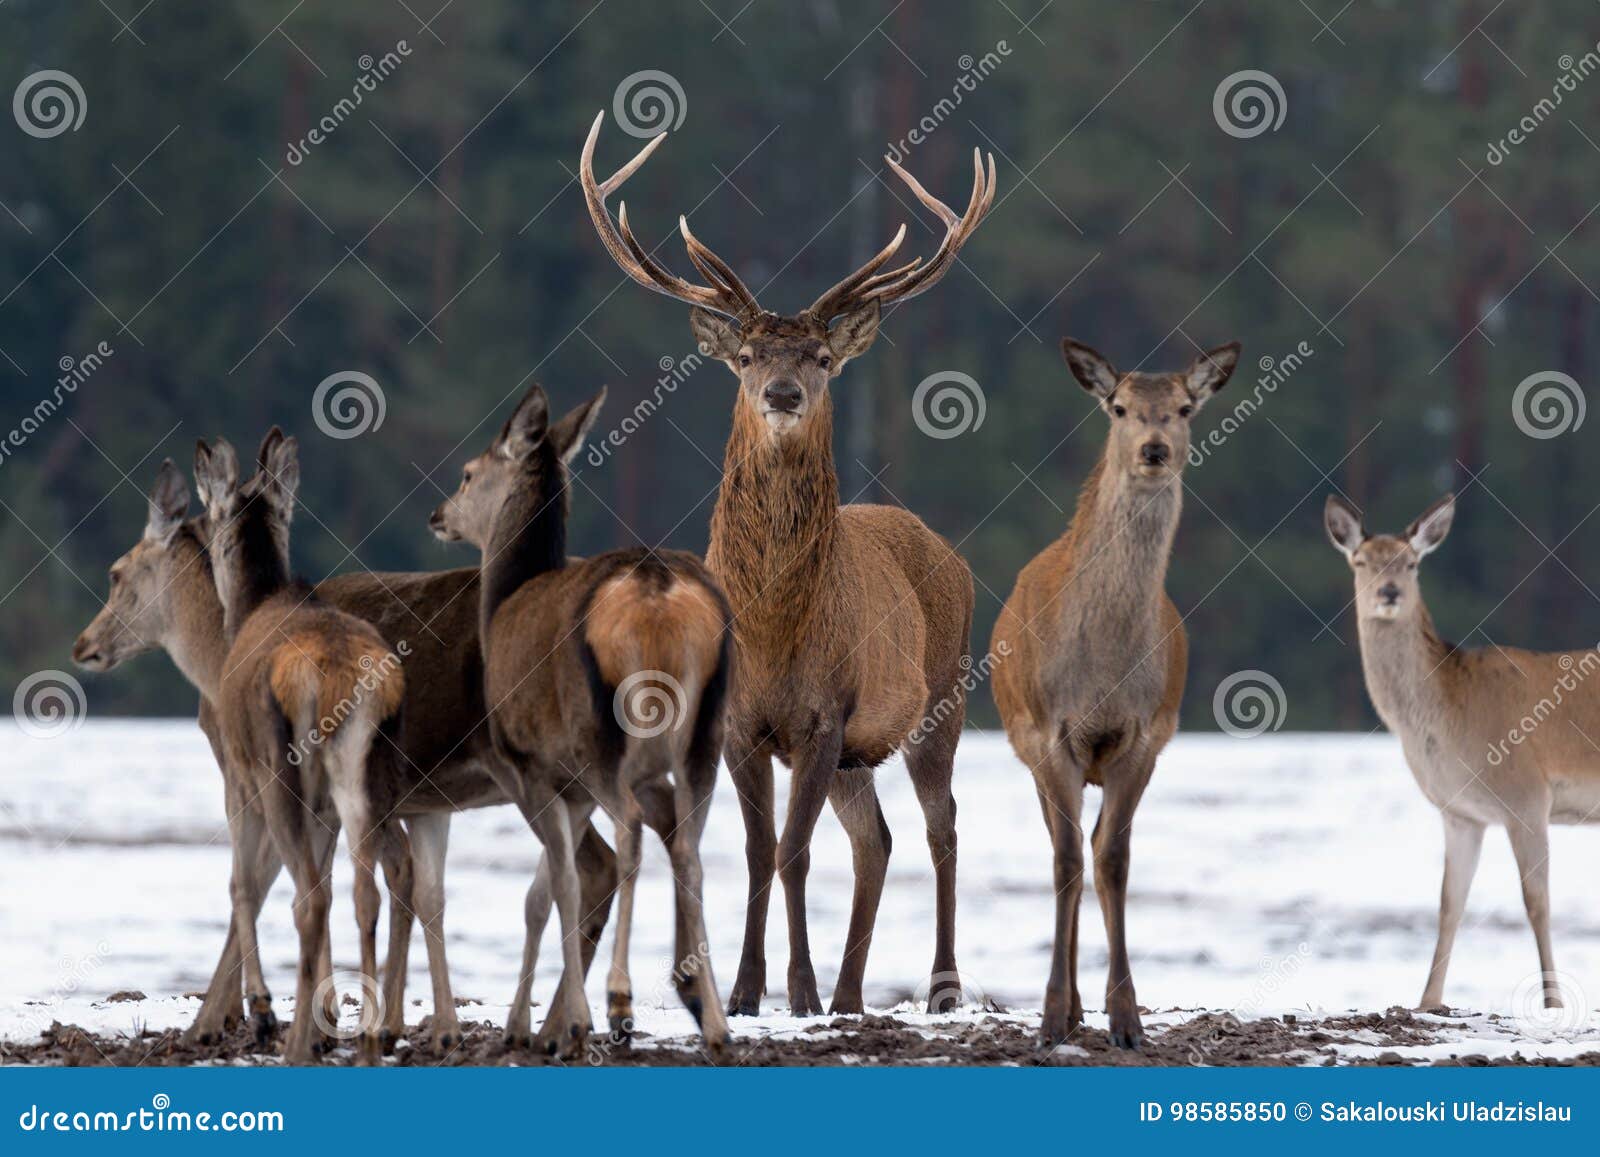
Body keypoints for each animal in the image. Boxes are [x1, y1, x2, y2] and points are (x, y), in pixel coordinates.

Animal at [432, 382, 732, 1056]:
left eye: (468, 473)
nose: (438, 515)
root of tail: (658, 590)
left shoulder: (533, 767)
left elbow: (562, 884)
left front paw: (565, 1021)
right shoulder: (594, 784)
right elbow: (550, 888)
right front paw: (545, 1021)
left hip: (599, 734)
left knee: (631, 833)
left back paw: (621, 1002)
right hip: (705, 733)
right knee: (691, 847)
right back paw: (716, 1019)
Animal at [582, 108, 985, 1011]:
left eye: (823, 359)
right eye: (746, 357)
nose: (783, 393)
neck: (771, 626)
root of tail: (948, 551)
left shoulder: (824, 714)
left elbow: (796, 854)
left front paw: (793, 991)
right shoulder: (736, 721)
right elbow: (758, 852)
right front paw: (742, 990)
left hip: (940, 696)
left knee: (941, 826)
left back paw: (939, 987)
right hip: (860, 753)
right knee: (878, 839)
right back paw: (850, 994)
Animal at [992, 337, 1241, 1049]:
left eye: (1185, 407)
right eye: (1120, 407)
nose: (1154, 449)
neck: (1104, 670)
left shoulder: (1144, 739)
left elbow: (1114, 861)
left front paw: (1127, 1020)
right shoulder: (1050, 734)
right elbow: (1067, 861)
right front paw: (1052, 1016)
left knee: (1092, 848)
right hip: (1028, 747)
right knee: (1064, 850)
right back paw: (1071, 1008)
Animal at [1324, 492, 1600, 1017]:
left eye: (1411, 564)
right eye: (1361, 561)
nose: (1388, 592)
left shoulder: (1527, 795)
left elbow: (1536, 901)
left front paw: (1553, 1003)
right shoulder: (1460, 813)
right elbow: (1449, 903)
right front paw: (1427, 1000)